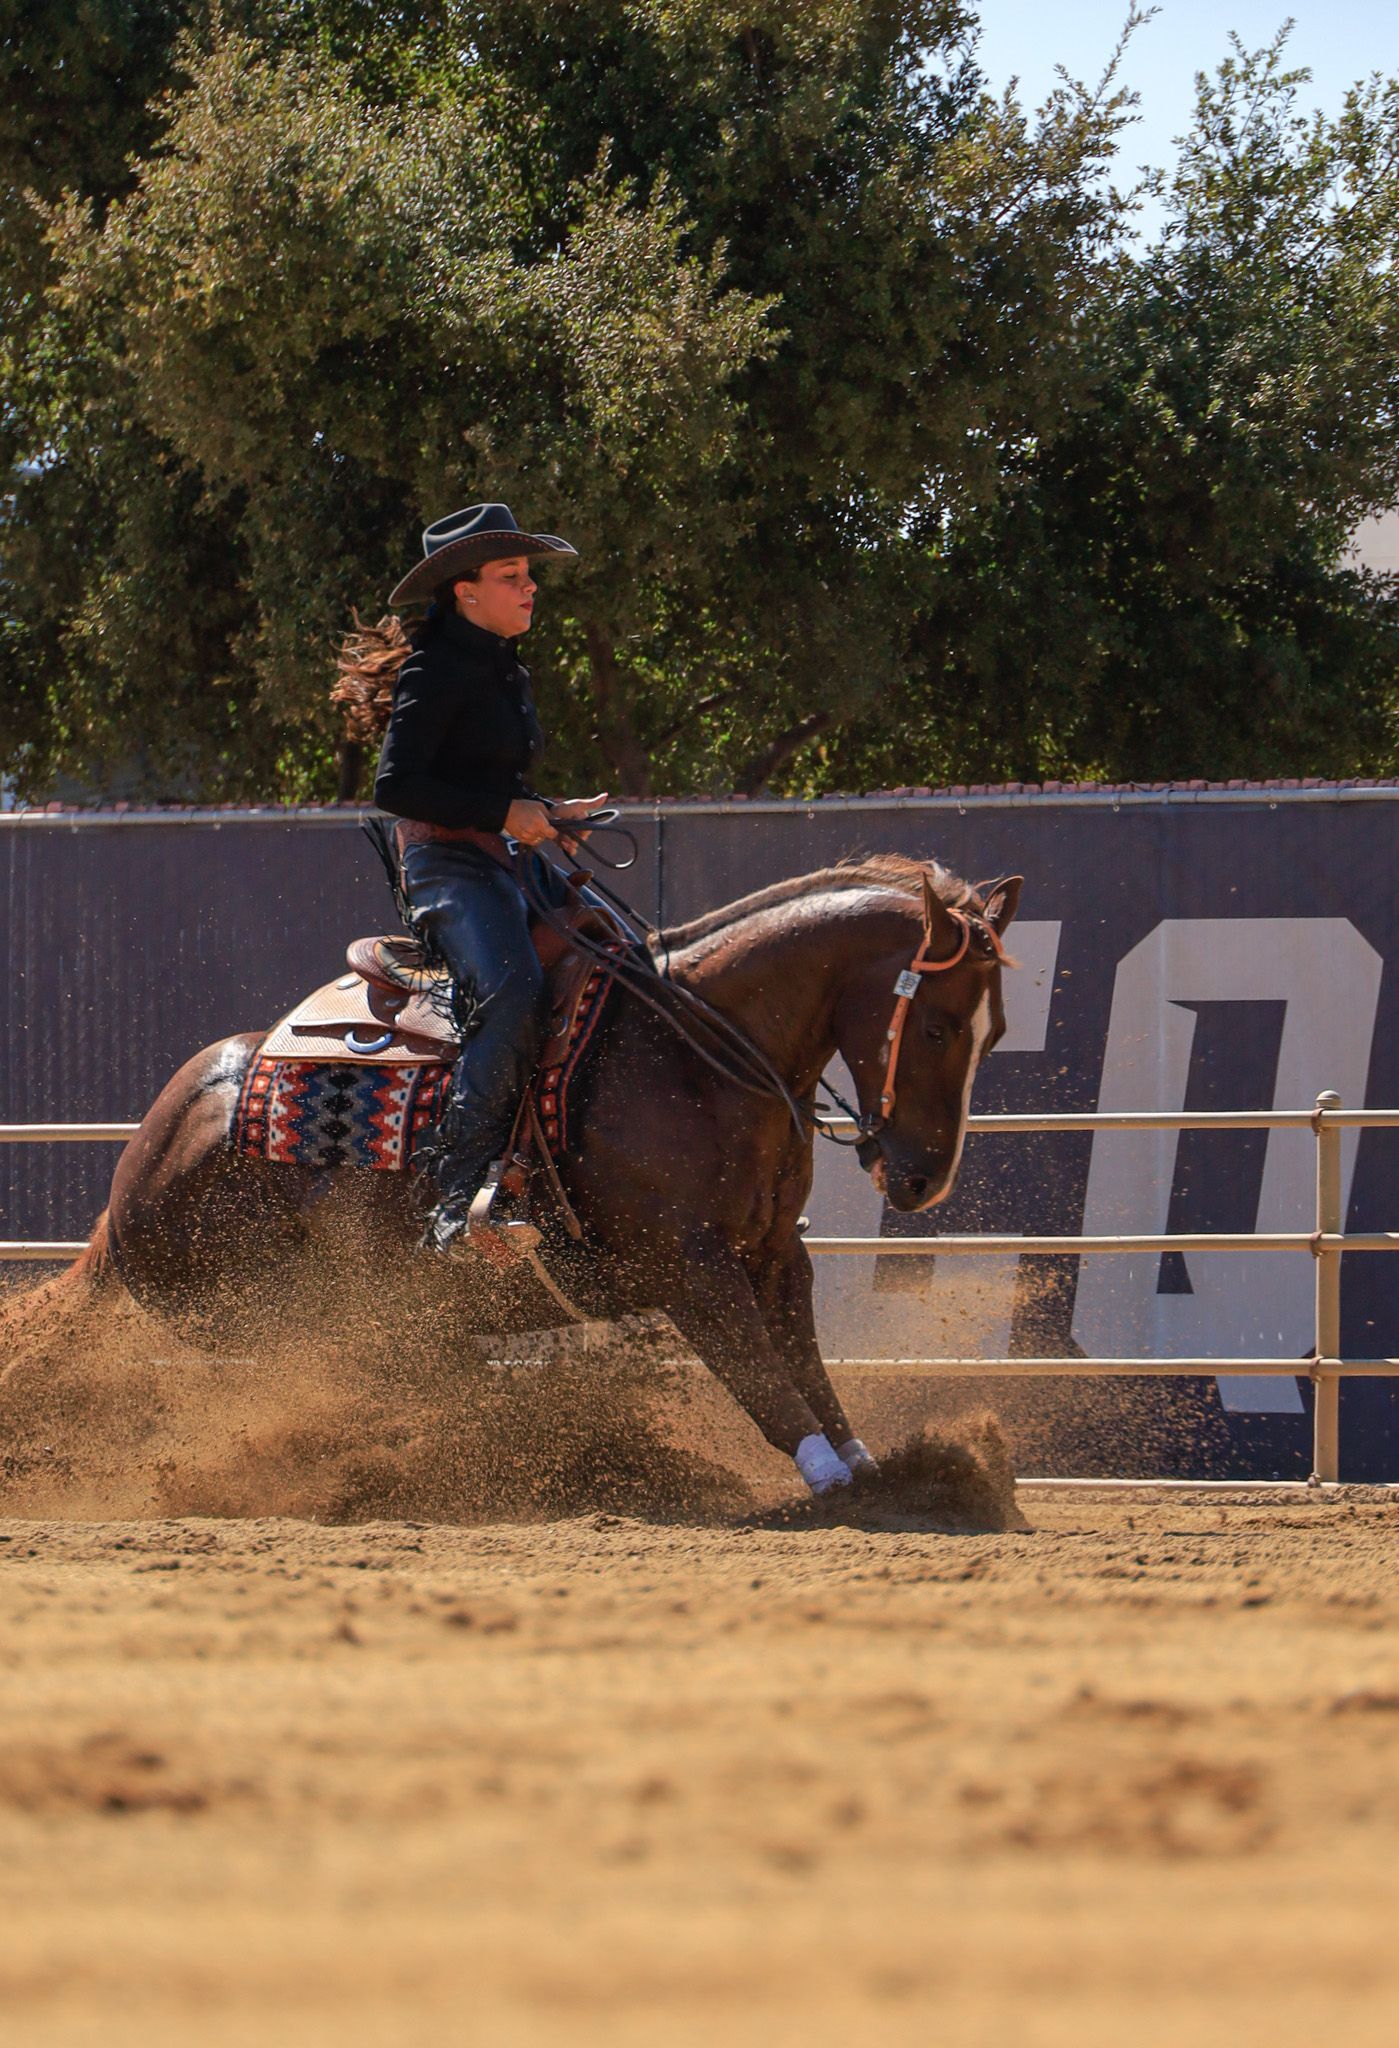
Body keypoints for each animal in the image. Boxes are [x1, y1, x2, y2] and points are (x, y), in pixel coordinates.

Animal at [89, 855, 1021, 1494]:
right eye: (937, 1027)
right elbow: (764, 1382)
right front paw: (835, 1484)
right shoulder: (689, 1268)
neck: (694, 1055)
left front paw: (883, 1474)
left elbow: (806, 1373)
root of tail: (145, 1161)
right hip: (289, 1323)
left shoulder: (773, 1255)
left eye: (996, 1031)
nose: (922, 1180)